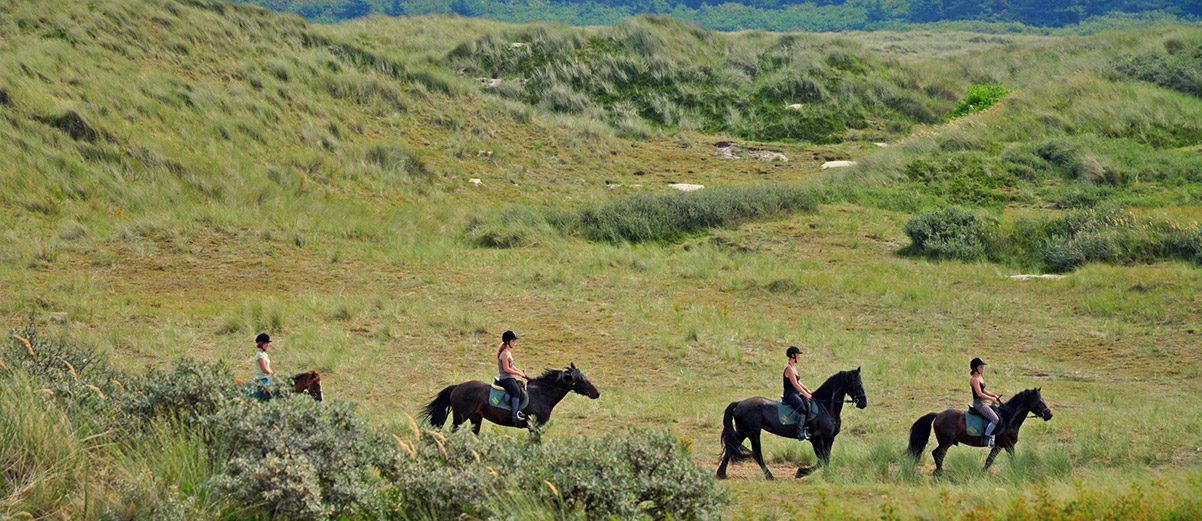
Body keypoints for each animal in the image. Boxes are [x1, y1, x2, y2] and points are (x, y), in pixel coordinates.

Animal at [423, 360, 601, 430]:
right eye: (581, 380)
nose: (597, 393)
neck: (543, 394)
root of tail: (457, 387)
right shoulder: (536, 424)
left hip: (476, 418)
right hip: (460, 417)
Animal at [716, 368, 870, 476]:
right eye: (858, 384)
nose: (863, 403)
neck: (826, 406)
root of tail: (739, 403)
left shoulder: (829, 439)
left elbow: (827, 458)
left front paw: (827, 476)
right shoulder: (817, 439)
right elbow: (821, 460)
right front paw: (801, 472)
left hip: (743, 431)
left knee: (731, 447)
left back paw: (721, 474)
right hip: (752, 432)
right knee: (756, 453)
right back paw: (769, 476)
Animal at [908, 385, 1052, 474]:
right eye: (1040, 401)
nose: (1049, 415)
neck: (1008, 417)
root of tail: (938, 415)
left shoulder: (999, 446)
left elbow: (989, 460)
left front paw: (982, 472)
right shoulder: (1009, 445)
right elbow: (1011, 459)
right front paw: (1016, 471)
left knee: (938, 454)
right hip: (945, 442)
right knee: (938, 454)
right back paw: (939, 472)